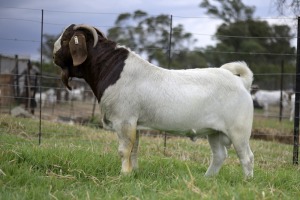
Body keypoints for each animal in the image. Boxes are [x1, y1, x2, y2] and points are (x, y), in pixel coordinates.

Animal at [52, 23, 254, 178]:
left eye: (65, 40)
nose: (54, 55)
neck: (112, 69)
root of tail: (240, 81)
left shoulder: (124, 120)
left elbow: (124, 150)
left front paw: (123, 174)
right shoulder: (135, 124)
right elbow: (134, 150)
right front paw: (133, 173)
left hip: (239, 130)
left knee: (247, 157)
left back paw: (246, 181)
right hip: (214, 132)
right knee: (219, 155)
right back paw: (207, 178)